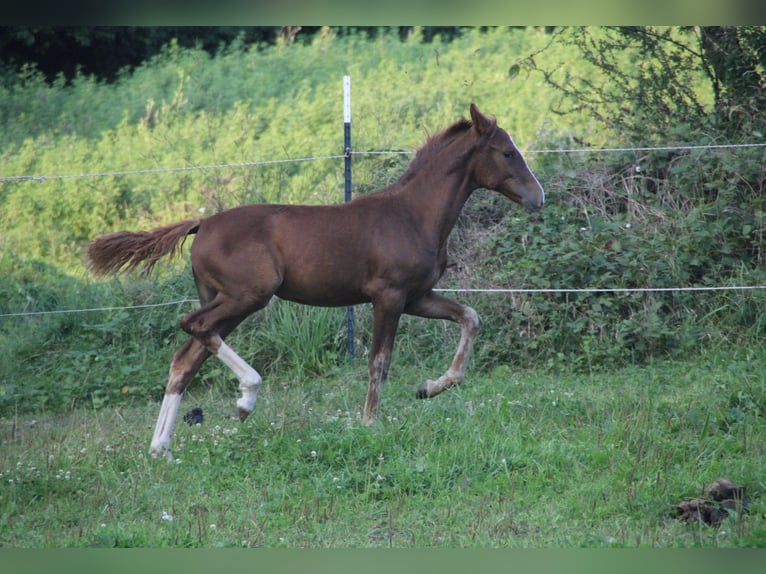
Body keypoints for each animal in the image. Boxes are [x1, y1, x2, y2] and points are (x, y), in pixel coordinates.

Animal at [87, 106, 544, 462]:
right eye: (507, 151)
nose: (538, 197)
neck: (413, 215)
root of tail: (201, 224)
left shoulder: (417, 297)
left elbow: (470, 317)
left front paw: (430, 387)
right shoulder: (388, 296)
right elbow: (379, 361)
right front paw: (369, 425)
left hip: (227, 301)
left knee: (186, 359)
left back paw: (161, 448)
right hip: (247, 296)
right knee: (193, 326)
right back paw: (245, 398)